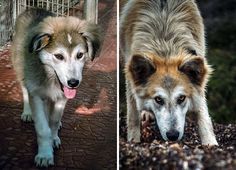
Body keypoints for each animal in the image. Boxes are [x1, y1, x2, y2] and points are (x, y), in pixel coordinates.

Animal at [11, 8, 100, 167]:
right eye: (58, 56)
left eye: (80, 55)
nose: (73, 83)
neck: (50, 77)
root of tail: (33, 8)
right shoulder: (36, 94)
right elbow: (43, 128)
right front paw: (45, 155)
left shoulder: (62, 98)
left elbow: (53, 120)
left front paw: (53, 138)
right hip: (20, 68)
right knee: (24, 90)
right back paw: (27, 112)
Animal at [121, 0, 218, 146]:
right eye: (158, 99)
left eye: (181, 98)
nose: (173, 135)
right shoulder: (130, 74)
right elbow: (133, 116)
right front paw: (133, 142)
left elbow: (203, 115)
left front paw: (211, 144)